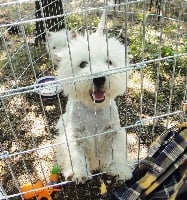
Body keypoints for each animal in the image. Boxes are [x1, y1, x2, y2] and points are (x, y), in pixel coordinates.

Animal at [54, 10, 133, 183]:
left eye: (109, 62)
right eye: (83, 64)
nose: (99, 78)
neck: (94, 110)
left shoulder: (113, 131)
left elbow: (116, 150)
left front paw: (120, 170)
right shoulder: (74, 134)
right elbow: (75, 153)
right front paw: (79, 173)